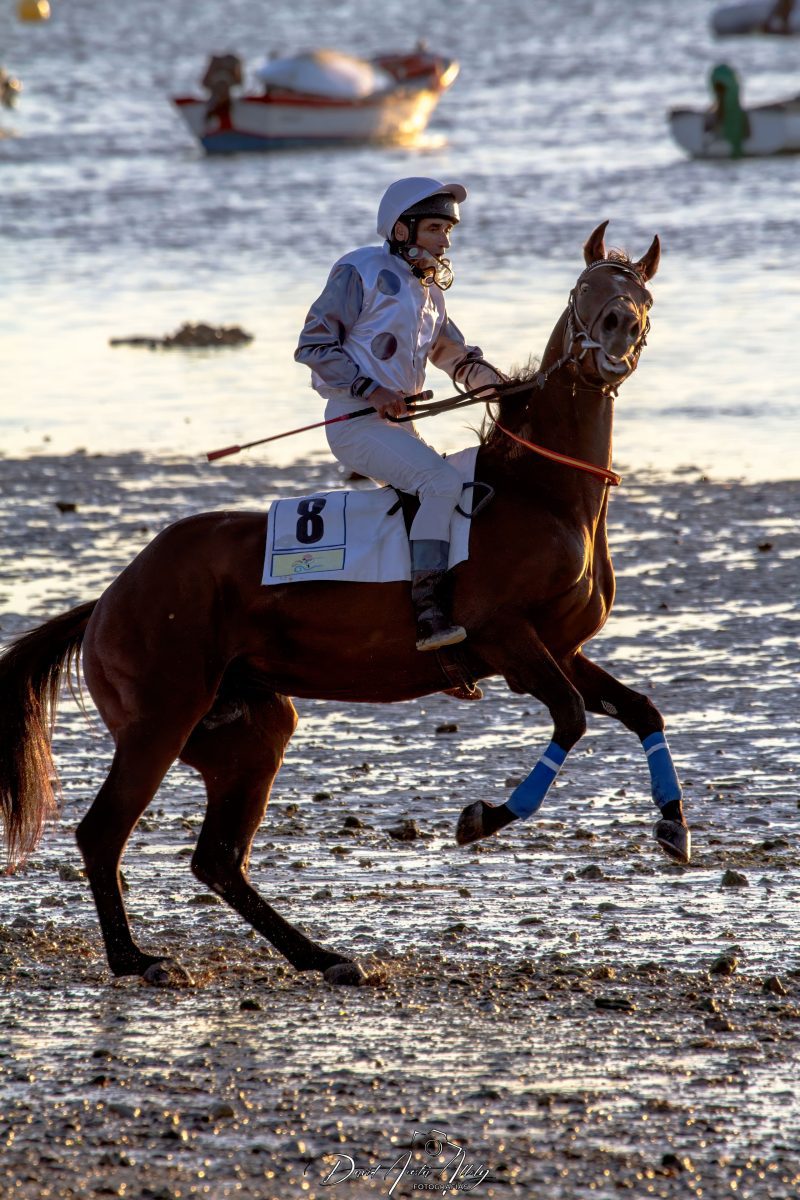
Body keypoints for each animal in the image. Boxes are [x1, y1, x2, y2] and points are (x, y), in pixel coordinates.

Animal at [0, 221, 690, 987]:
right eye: (584, 290)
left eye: (643, 294)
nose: (619, 330)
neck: (541, 494)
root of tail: (110, 596)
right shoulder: (509, 642)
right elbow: (570, 716)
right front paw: (482, 816)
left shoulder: (561, 648)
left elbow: (641, 710)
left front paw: (673, 826)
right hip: (159, 722)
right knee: (104, 834)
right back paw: (135, 959)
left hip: (248, 732)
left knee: (218, 859)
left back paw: (320, 955)